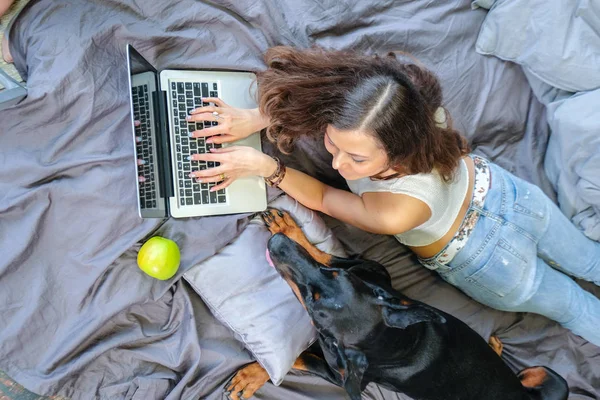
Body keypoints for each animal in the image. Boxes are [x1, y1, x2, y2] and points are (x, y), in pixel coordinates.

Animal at [225, 209, 568, 400]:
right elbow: (325, 254)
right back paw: (494, 348)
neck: (398, 341)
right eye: (332, 276)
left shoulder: (345, 378)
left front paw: (252, 376)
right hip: (552, 378)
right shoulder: (373, 272)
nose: (276, 244)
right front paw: (288, 228)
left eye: (312, 302)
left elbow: (302, 358)